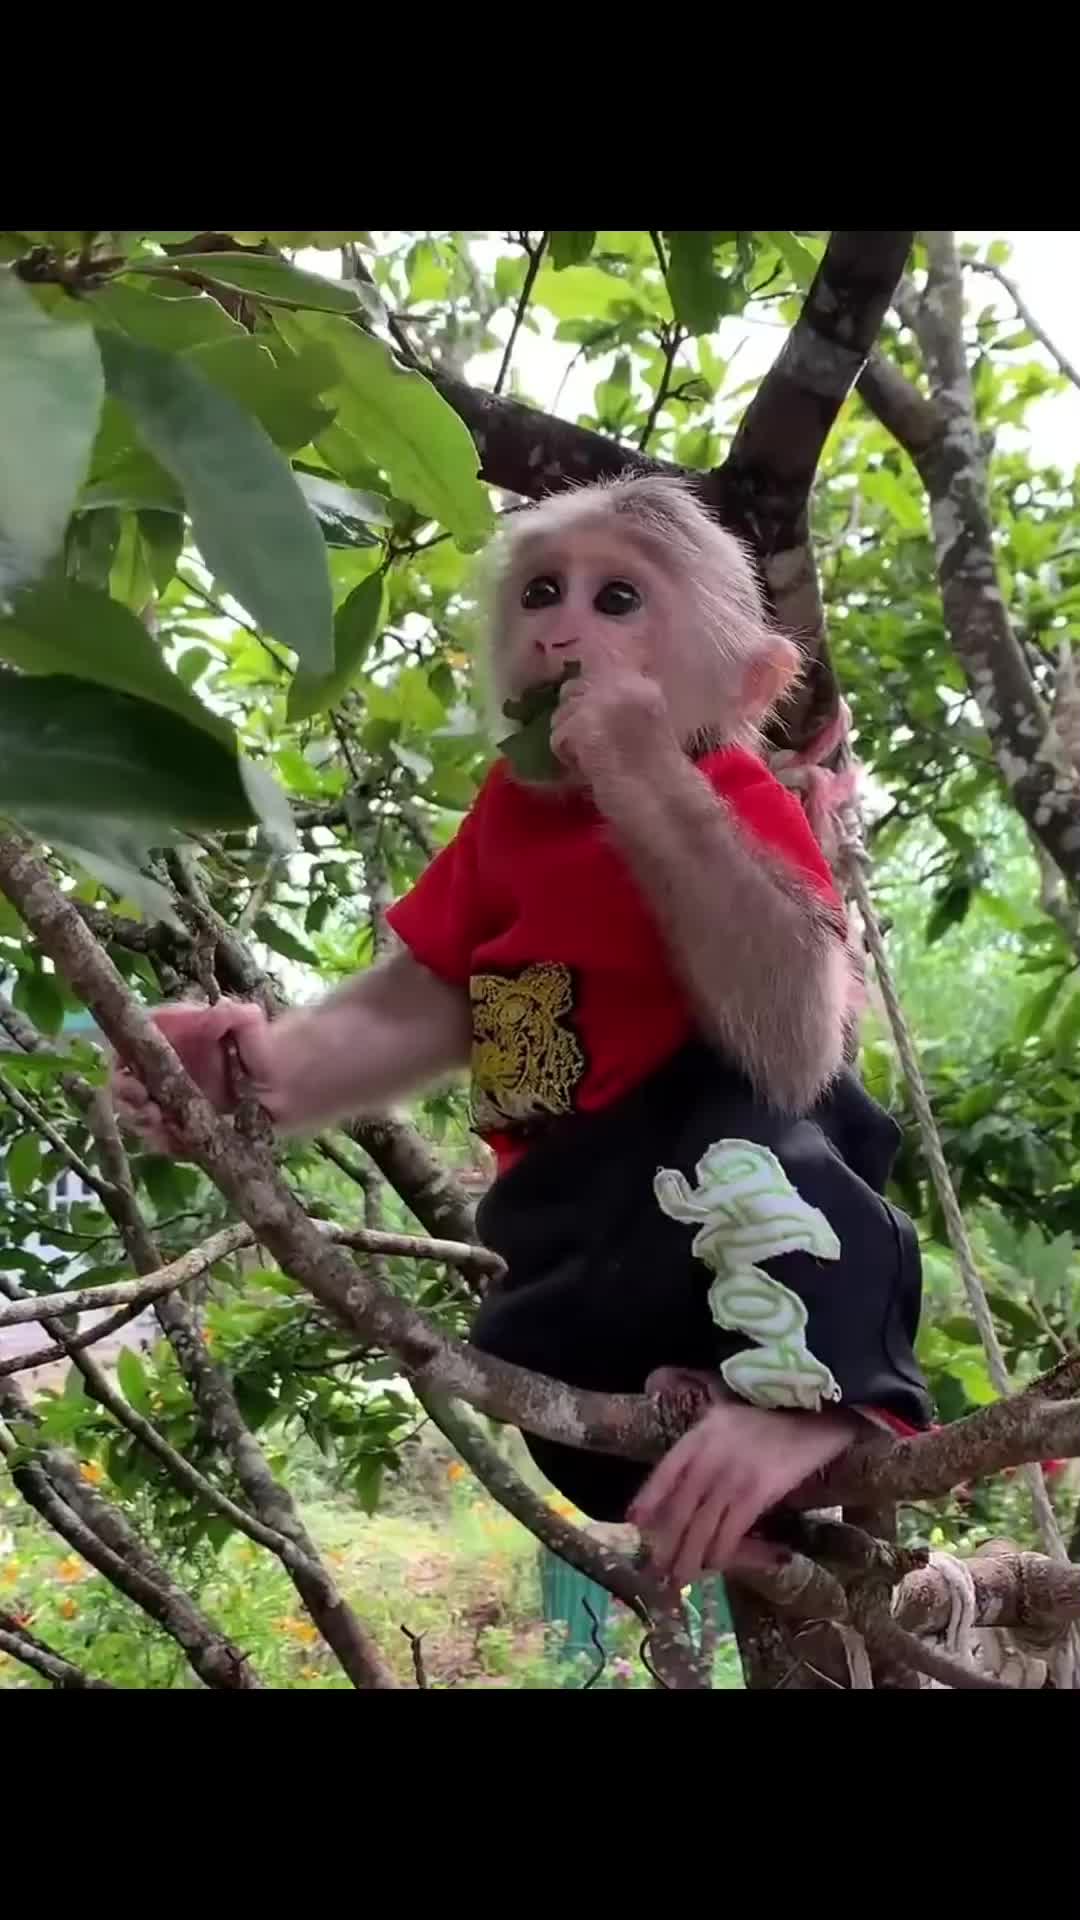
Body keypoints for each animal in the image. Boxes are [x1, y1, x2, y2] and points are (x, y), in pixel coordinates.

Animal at [113, 474, 931, 1587]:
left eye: (619, 600)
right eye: (545, 589)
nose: (561, 632)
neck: (577, 814)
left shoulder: (747, 798)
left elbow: (799, 1029)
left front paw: (626, 733)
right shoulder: (492, 824)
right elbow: (429, 995)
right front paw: (214, 1061)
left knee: (759, 1116)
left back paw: (790, 1422)